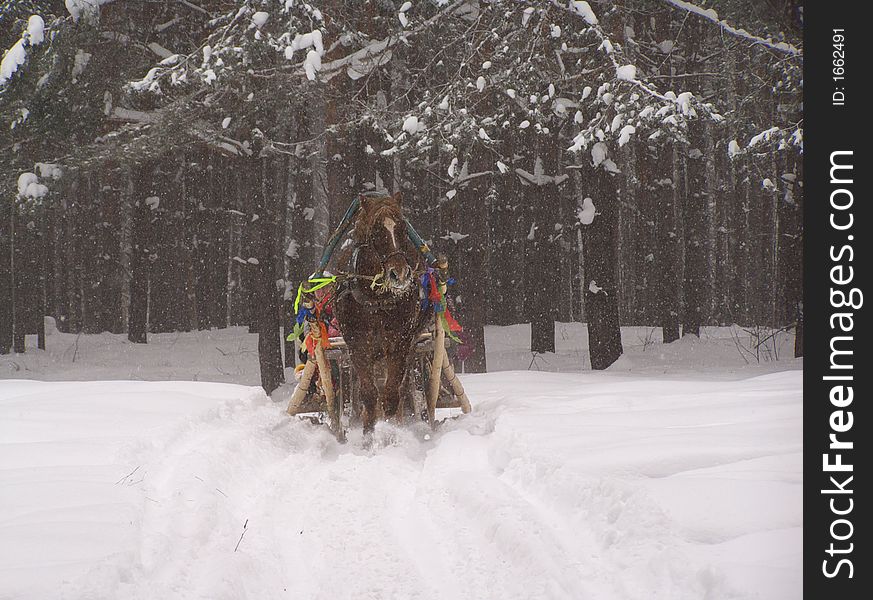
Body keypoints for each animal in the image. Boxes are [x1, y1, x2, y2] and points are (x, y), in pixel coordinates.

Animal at [332, 191, 428, 432]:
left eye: (402, 227)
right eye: (376, 230)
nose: (399, 274)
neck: (376, 300)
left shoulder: (400, 343)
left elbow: (391, 395)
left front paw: (391, 433)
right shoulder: (358, 345)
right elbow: (368, 395)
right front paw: (369, 434)